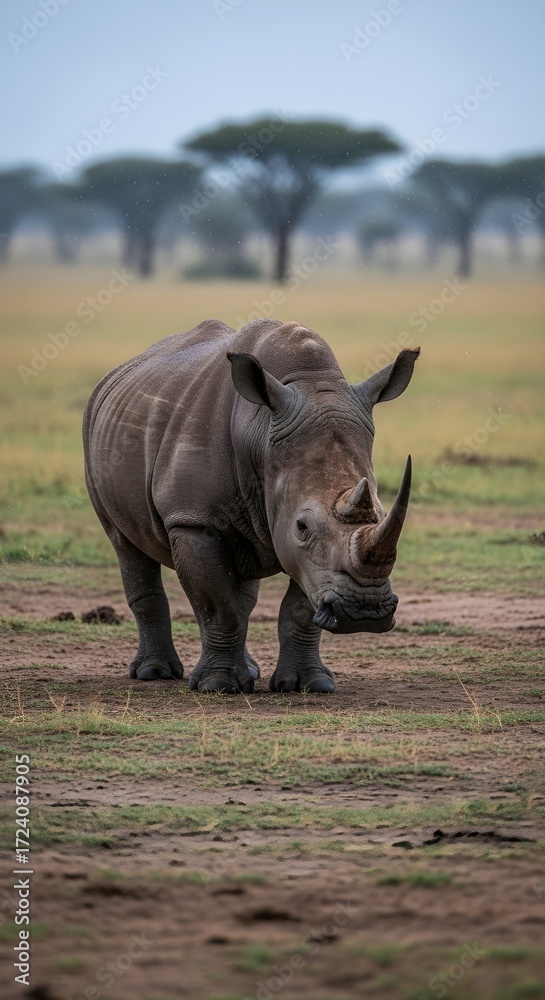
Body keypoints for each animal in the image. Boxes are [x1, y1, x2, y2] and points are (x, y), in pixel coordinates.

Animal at [83, 319, 419, 694]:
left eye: (381, 514)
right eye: (302, 526)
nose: (365, 610)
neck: (260, 435)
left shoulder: (303, 550)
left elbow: (298, 608)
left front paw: (309, 684)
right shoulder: (193, 520)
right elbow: (218, 605)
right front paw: (218, 686)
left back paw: (250, 671)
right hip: (93, 431)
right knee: (125, 544)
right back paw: (153, 672)